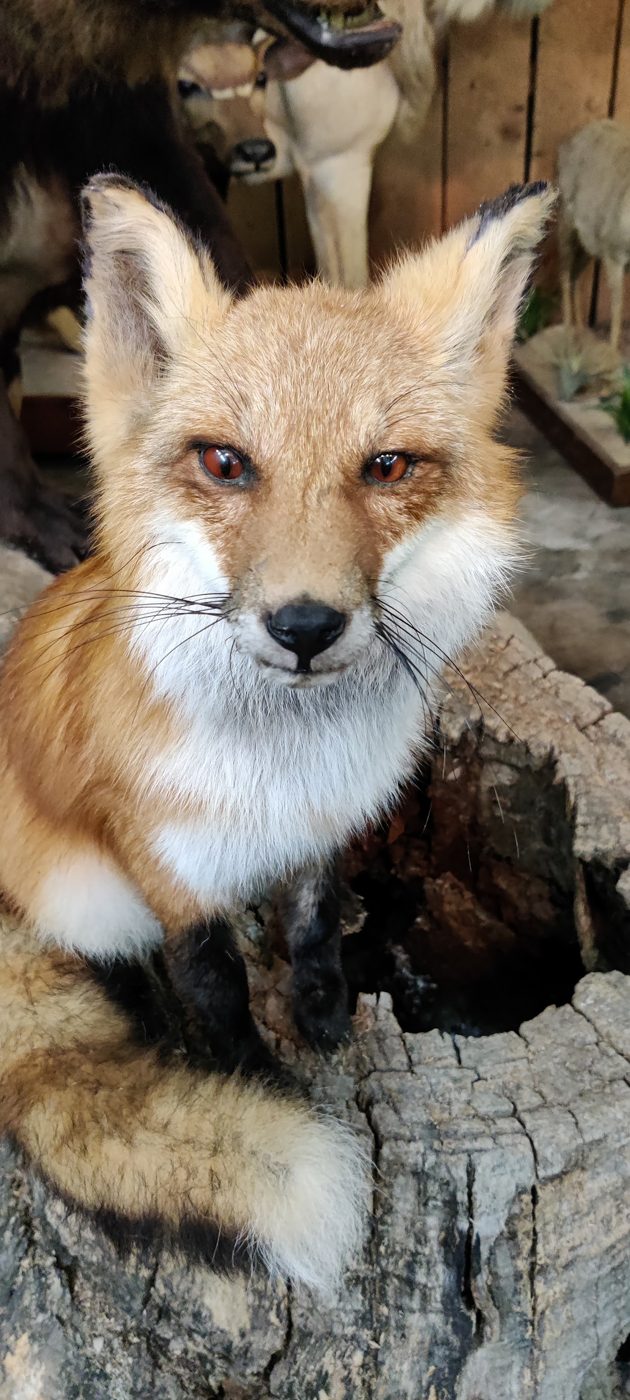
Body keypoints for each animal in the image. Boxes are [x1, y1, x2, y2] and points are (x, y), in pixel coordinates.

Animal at [0, 175, 554, 1295]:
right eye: (226, 463)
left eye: (386, 466)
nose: (304, 625)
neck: (285, 765)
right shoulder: (168, 865)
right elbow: (212, 984)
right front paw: (251, 1076)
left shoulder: (321, 827)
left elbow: (311, 919)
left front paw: (325, 1010)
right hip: (77, 888)